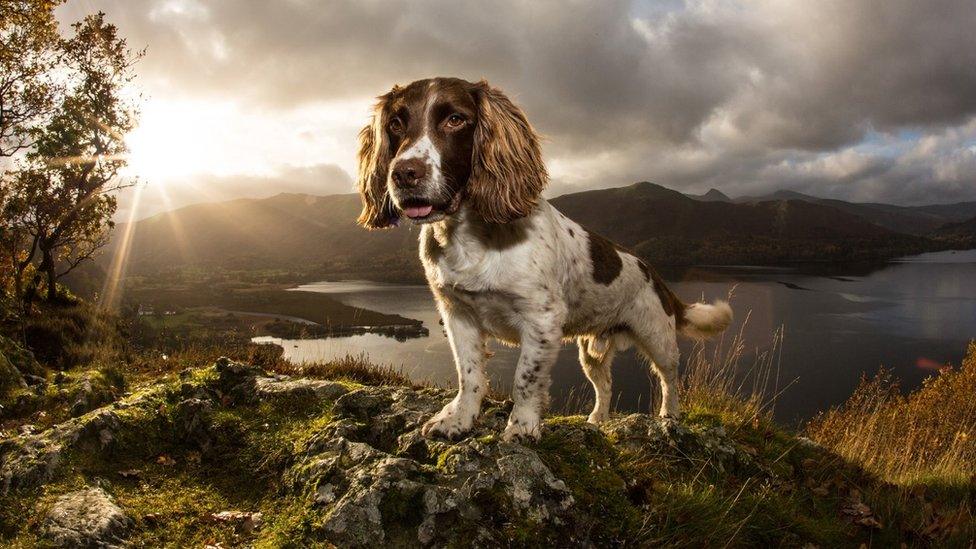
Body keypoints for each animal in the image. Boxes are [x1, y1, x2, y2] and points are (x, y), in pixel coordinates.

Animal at [354, 77, 728, 440]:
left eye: (455, 119)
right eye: (396, 123)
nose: (404, 174)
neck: (472, 237)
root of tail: (655, 274)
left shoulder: (542, 320)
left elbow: (525, 379)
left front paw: (522, 427)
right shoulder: (457, 313)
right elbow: (469, 375)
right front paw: (459, 420)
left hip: (657, 336)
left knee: (670, 378)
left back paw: (670, 417)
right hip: (590, 353)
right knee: (605, 385)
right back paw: (597, 420)